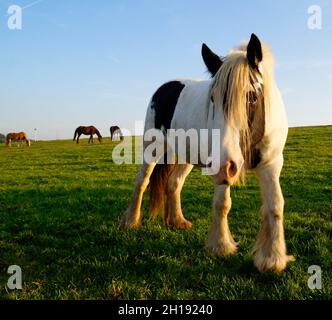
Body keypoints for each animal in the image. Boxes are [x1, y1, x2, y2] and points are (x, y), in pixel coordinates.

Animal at [121, 33, 294, 272]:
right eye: (213, 99)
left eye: (252, 97)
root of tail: (165, 87)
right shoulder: (222, 166)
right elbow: (222, 204)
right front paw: (221, 246)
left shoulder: (270, 164)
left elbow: (275, 206)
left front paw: (272, 258)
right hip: (153, 147)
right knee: (142, 180)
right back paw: (131, 221)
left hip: (186, 155)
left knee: (173, 183)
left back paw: (177, 221)